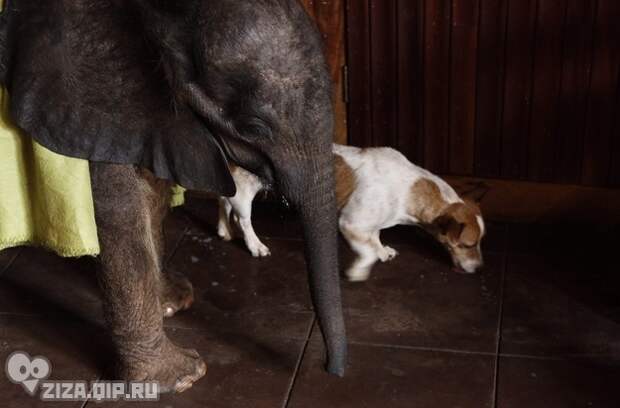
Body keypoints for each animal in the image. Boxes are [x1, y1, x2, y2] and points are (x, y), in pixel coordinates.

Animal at [216, 143, 486, 280]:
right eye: (468, 244)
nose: (480, 269)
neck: (410, 186)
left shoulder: (372, 224)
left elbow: (375, 239)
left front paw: (383, 250)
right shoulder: (350, 224)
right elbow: (368, 252)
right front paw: (358, 270)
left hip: (235, 189)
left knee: (223, 201)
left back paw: (223, 230)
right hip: (245, 193)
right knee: (243, 220)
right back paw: (255, 245)